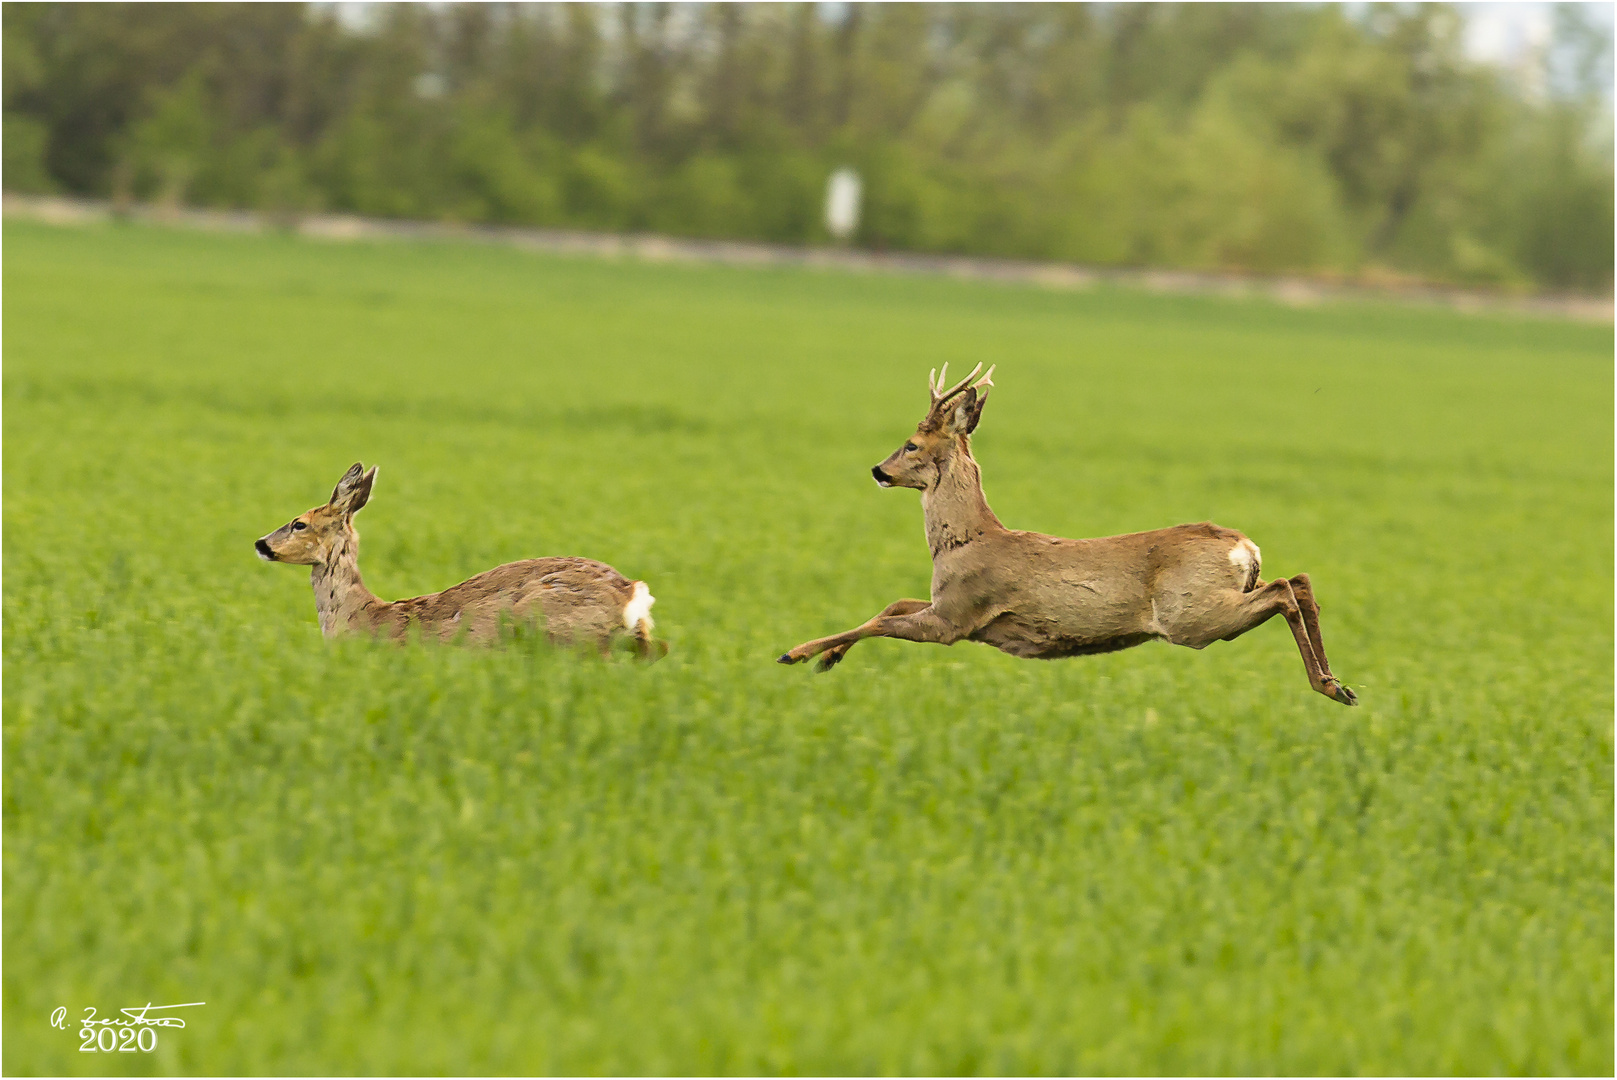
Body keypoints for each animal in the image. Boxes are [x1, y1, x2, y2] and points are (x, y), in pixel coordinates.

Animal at [776, 368, 1358, 708]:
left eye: (912, 444)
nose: (878, 470)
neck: (967, 540)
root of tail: (1244, 546)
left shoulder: (957, 618)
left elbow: (882, 619)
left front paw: (797, 654)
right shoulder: (951, 608)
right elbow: (893, 603)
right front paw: (829, 658)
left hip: (1190, 614)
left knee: (1284, 588)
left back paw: (1327, 685)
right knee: (1299, 580)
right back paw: (1338, 685)